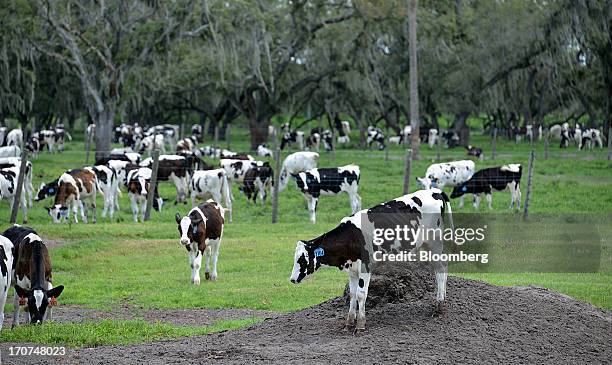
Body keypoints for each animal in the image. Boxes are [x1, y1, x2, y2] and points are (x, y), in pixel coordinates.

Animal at [292, 189, 454, 332]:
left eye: (302, 259)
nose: (292, 279)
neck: (352, 236)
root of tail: (436, 191)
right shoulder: (352, 270)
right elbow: (352, 294)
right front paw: (349, 324)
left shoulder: (365, 267)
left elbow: (361, 294)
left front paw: (360, 325)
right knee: (443, 267)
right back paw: (443, 300)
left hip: (435, 243)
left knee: (440, 269)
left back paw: (439, 307)